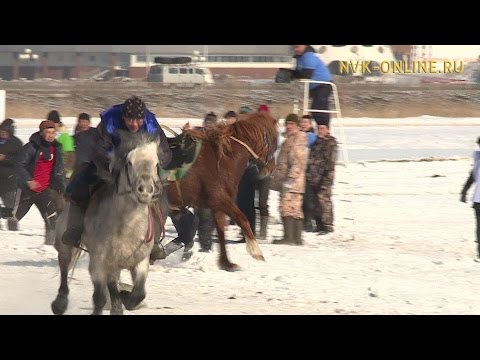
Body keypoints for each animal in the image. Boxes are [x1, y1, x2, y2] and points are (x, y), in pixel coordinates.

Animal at [52, 131, 165, 316]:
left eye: (156, 164)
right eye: (129, 163)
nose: (145, 190)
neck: (127, 226)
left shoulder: (140, 261)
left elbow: (138, 294)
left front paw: (126, 297)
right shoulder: (97, 263)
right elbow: (99, 298)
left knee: (112, 283)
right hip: (65, 242)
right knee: (64, 264)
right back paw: (59, 303)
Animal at [166, 112, 278, 270]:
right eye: (273, 141)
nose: (271, 168)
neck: (220, 160)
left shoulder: (217, 206)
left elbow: (220, 230)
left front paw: (226, 262)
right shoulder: (220, 199)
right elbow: (242, 219)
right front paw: (255, 251)